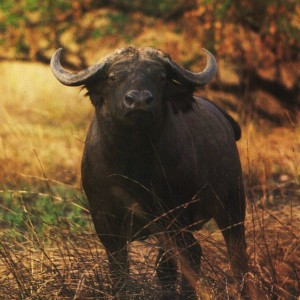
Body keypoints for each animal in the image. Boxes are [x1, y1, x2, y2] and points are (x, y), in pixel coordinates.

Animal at [51, 47, 248, 298]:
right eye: (114, 77)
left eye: (160, 77)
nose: (139, 101)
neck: (132, 164)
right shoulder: (104, 218)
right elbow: (119, 267)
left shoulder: (171, 214)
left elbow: (169, 264)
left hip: (231, 206)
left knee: (233, 253)